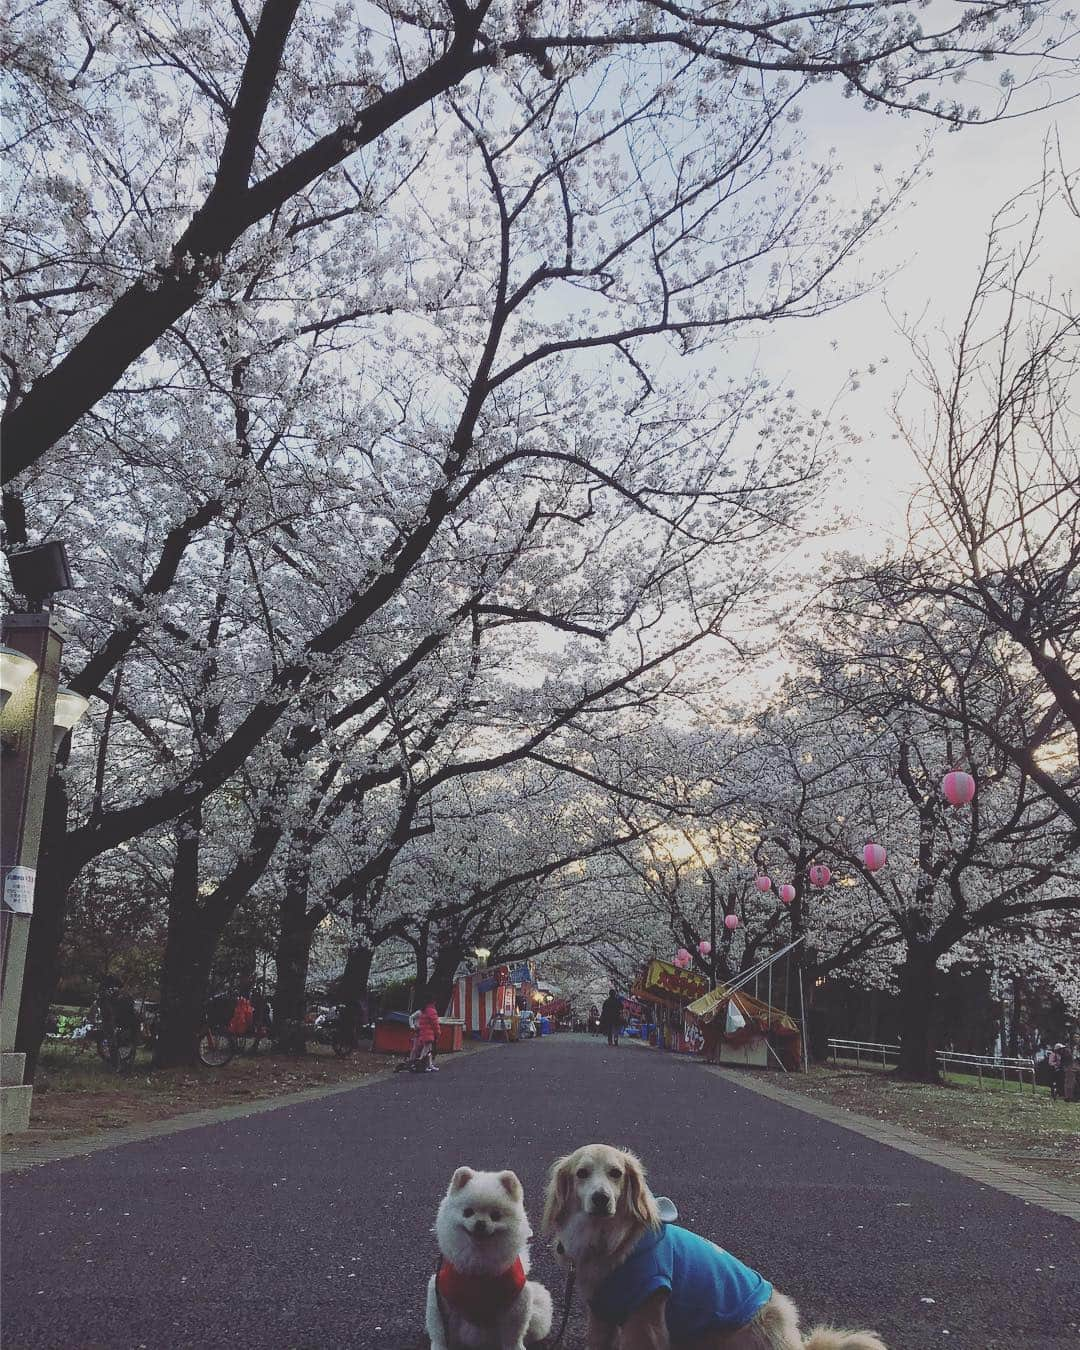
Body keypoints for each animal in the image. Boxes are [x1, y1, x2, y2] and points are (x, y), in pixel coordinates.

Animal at [426, 1166, 553, 1350]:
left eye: (495, 1216)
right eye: (467, 1212)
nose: (480, 1223)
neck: (480, 1267)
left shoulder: (517, 1299)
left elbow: (513, 1335)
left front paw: (515, 1347)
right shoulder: (440, 1295)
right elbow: (440, 1332)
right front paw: (439, 1347)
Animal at [540, 1144, 885, 1344]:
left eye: (616, 1173)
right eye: (582, 1173)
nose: (601, 1198)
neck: (609, 1240)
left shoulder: (646, 1318)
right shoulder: (602, 1315)